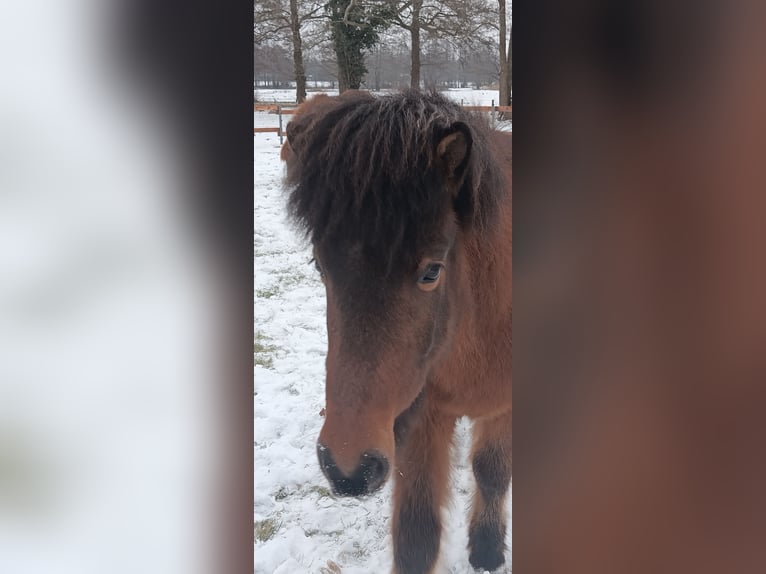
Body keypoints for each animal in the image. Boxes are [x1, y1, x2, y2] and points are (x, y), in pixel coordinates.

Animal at [281, 89, 512, 574]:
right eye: (319, 265)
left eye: (431, 271)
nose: (347, 465)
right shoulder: (420, 420)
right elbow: (416, 533)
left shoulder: (503, 405)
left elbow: (492, 472)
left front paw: (486, 550)